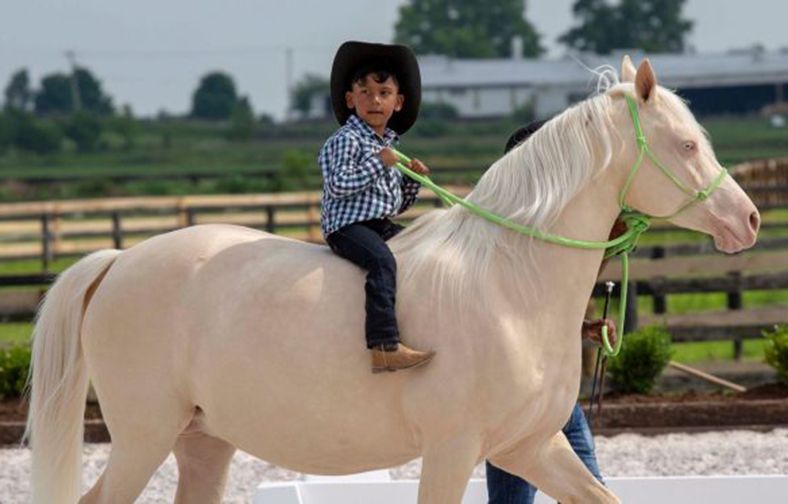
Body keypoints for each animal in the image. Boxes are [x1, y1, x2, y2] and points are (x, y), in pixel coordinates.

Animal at [26, 56, 759, 504]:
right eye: (687, 144)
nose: (747, 218)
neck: (511, 286)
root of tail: (118, 261)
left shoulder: (531, 446)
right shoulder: (453, 451)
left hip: (202, 443)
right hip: (143, 438)